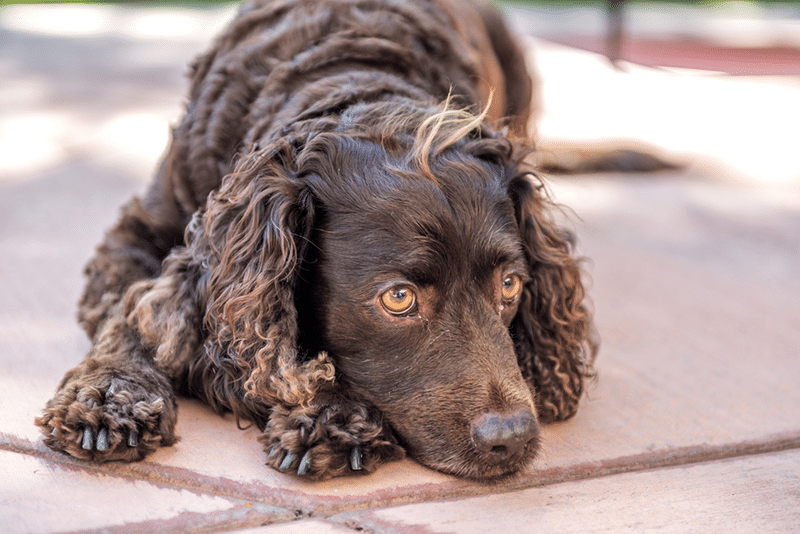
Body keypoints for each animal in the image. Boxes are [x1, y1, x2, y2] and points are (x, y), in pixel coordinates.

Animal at [39, 0, 600, 482]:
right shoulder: (137, 234)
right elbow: (130, 316)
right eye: (399, 298)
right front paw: (110, 396)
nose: (513, 438)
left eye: (510, 285)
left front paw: (331, 414)